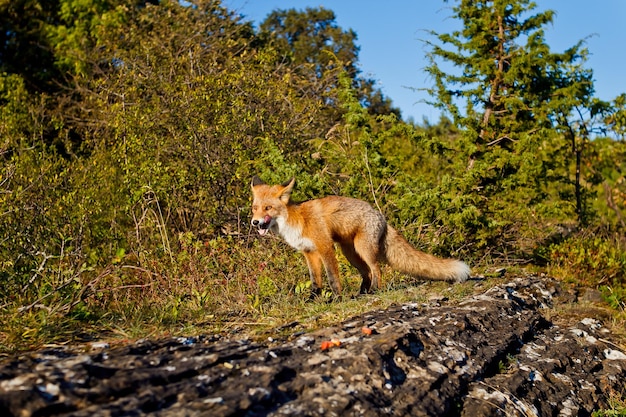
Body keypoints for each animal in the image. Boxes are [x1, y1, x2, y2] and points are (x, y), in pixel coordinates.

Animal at [249, 176, 468, 296]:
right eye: (255, 208)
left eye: (268, 208)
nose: (255, 222)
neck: (295, 220)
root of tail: (381, 216)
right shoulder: (309, 252)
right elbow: (315, 281)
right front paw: (313, 299)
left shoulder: (325, 247)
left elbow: (332, 278)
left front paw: (337, 298)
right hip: (351, 254)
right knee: (367, 273)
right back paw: (362, 293)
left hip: (363, 250)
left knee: (376, 269)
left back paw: (375, 291)